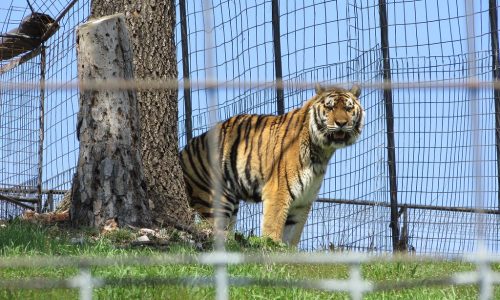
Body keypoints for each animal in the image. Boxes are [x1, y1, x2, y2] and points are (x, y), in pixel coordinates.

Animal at [179, 83, 364, 245]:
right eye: (330, 107)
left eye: (348, 109)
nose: (341, 123)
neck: (322, 152)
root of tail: (183, 151)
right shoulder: (278, 192)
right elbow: (273, 226)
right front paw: (271, 246)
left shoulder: (304, 200)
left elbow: (293, 234)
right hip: (214, 199)